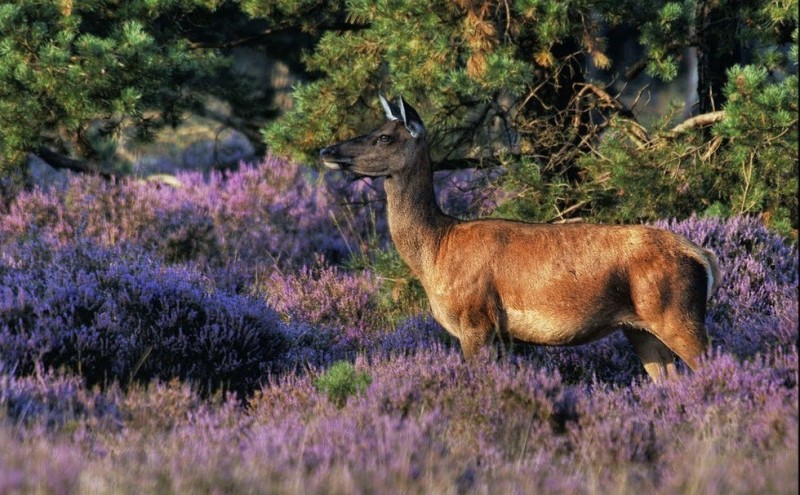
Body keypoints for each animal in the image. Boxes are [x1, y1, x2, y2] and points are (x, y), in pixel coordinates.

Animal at [318, 97, 720, 384]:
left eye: (384, 136)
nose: (327, 151)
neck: (435, 250)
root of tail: (703, 257)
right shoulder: (502, 335)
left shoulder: (475, 319)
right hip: (640, 329)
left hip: (678, 314)